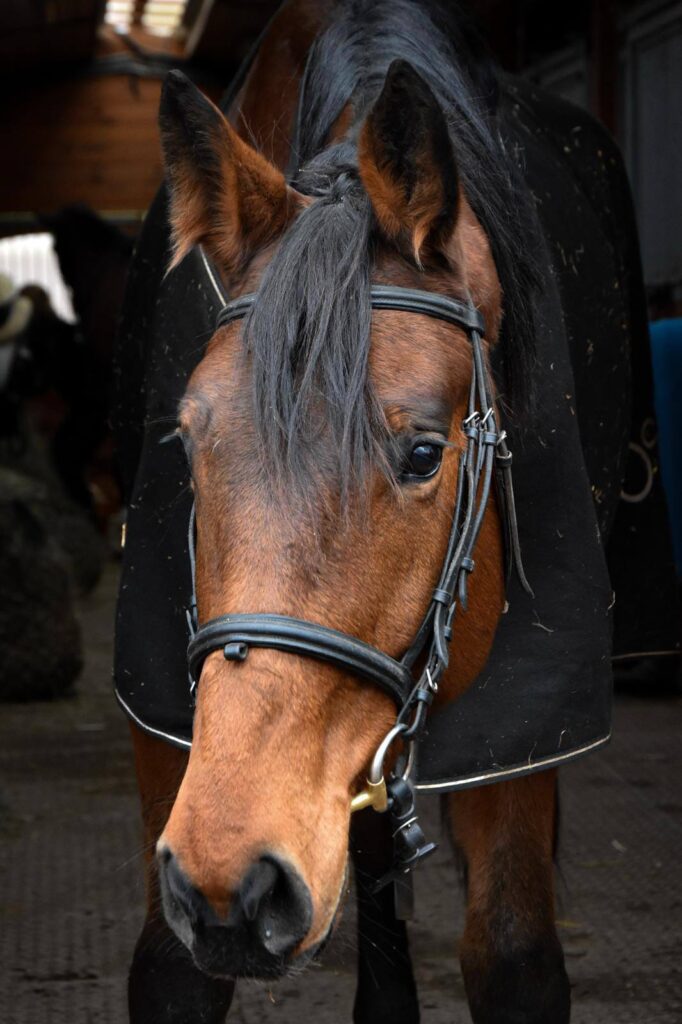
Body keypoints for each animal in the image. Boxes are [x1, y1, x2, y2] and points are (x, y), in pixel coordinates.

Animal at [112, 2, 663, 1020]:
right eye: (189, 446)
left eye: (422, 455)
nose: (233, 882)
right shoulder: (164, 717)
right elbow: (174, 972)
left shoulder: (521, 724)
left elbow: (516, 954)